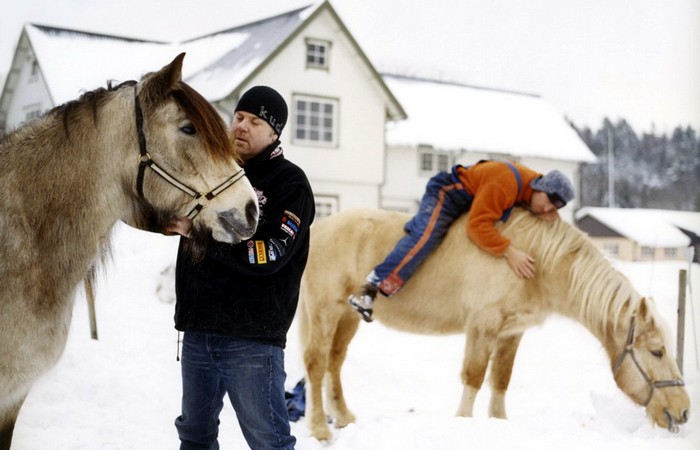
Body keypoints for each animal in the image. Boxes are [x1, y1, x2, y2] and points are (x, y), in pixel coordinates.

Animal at [300, 207, 688, 440]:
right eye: (657, 351)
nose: (684, 411)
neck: (537, 262)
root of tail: (318, 227)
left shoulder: (511, 333)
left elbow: (500, 380)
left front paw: (499, 424)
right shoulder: (482, 327)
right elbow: (473, 377)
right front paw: (463, 423)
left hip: (347, 315)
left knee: (334, 363)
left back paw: (343, 416)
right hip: (324, 309)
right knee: (316, 364)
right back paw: (320, 429)